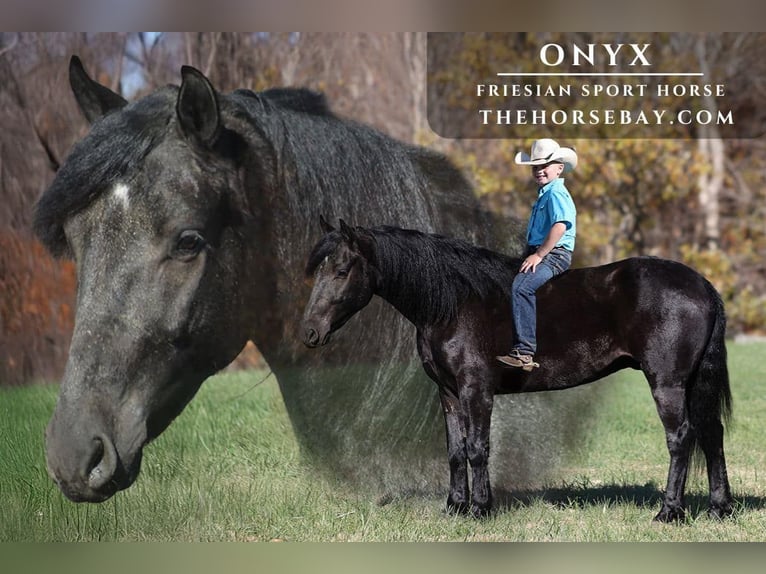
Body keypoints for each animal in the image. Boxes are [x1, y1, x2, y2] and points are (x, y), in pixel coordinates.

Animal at [301, 218, 734, 522]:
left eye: (341, 271)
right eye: (319, 269)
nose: (310, 332)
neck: (453, 303)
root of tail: (702, 284)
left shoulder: (476, 390)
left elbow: (478, 448)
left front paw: (479, 509)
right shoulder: (448, 392)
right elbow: (455, 451)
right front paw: (454, 507)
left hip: (668, 383)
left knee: (681, 438)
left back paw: (669, 512)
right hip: (692, 383)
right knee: (711, 434)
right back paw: (719, 508)